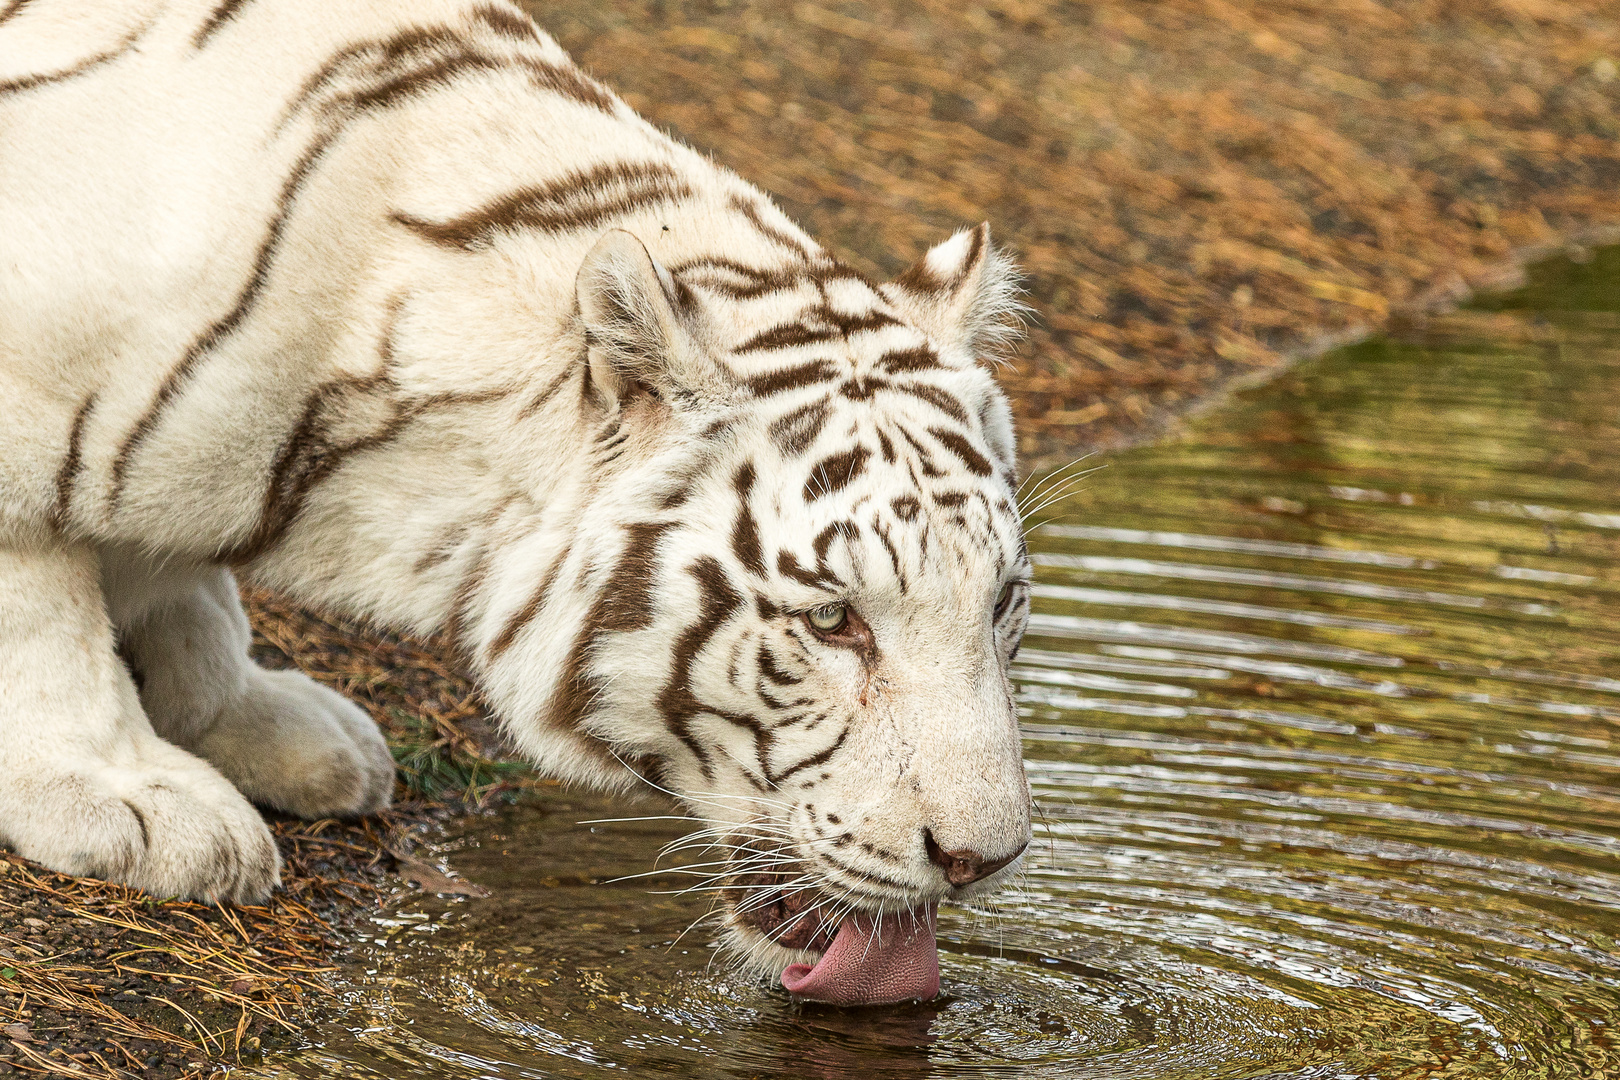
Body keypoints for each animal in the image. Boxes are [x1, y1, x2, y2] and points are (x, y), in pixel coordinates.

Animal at [0, 0, 1030, 1003]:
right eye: (830, 620)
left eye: (1001, 604)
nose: (982, 861)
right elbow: (44, 612)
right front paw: (128, 796)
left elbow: (192, 594)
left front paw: (256, 722)